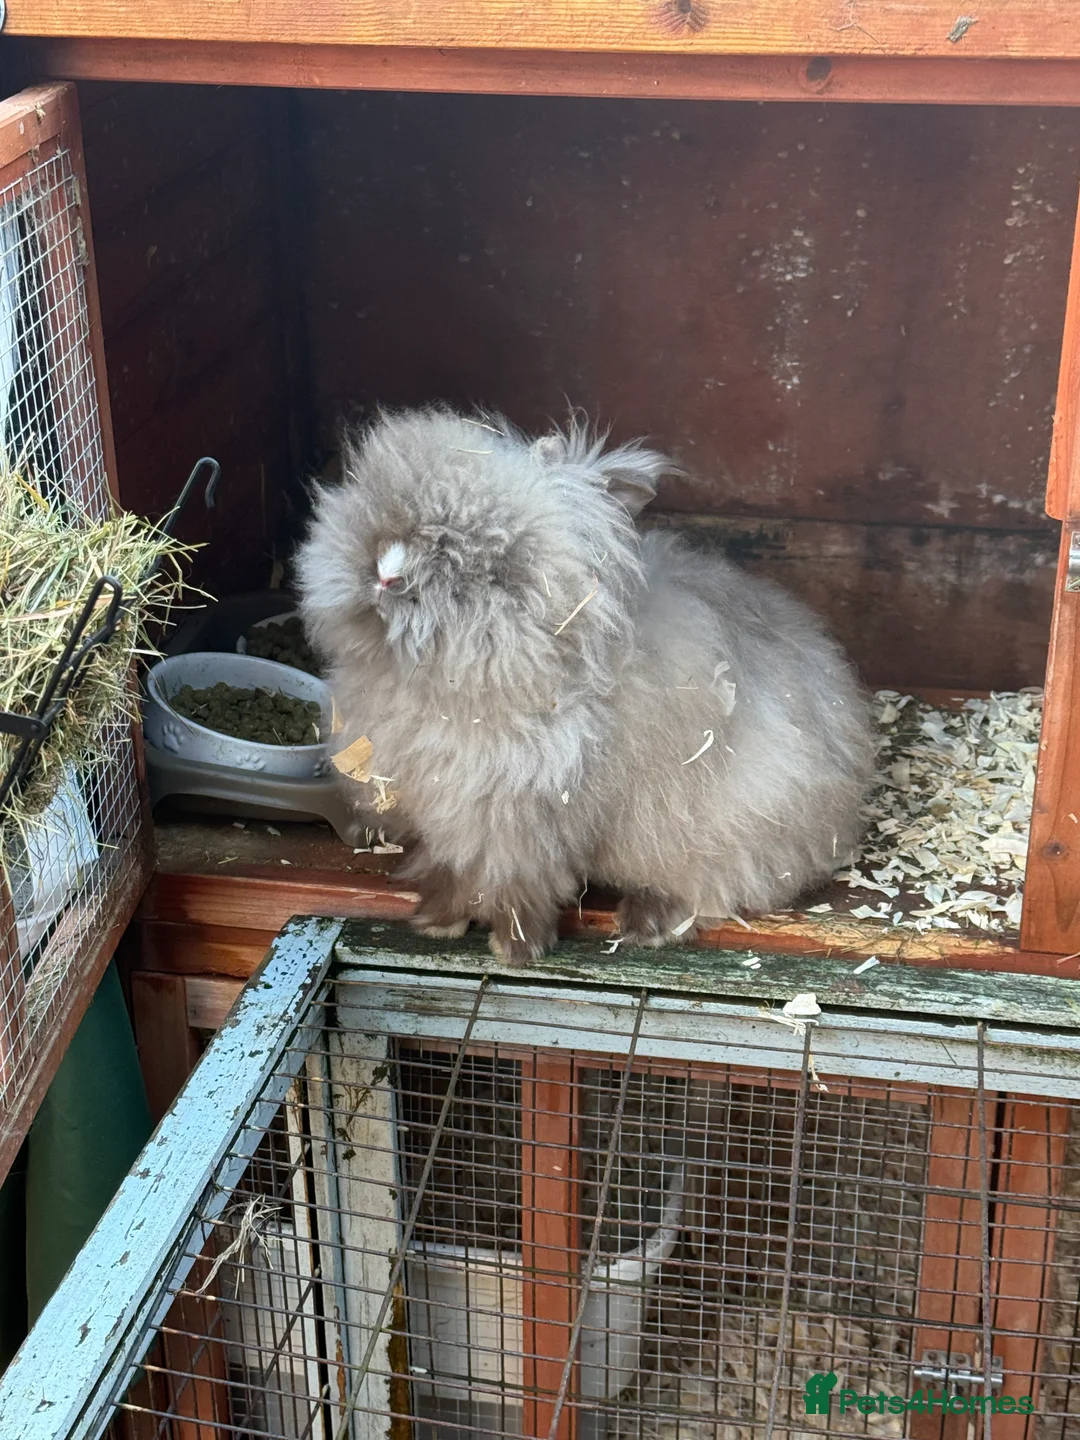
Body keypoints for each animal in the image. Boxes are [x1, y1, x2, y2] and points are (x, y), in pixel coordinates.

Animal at [295, 405, 876, 963]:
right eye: (373, 510)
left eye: (493, 564)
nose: (385, 573)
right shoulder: (447, 818)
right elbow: (457, 871)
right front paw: (437, 921)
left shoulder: (522, 822)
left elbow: (518, 883)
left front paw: (515, 949)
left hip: (731, 823)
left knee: (715, 884)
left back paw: (647, 924)